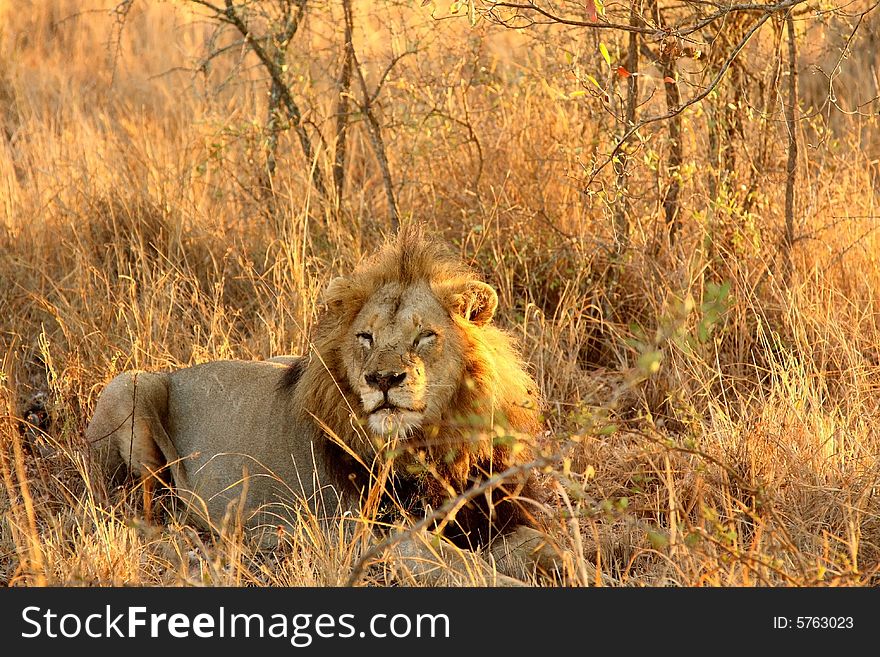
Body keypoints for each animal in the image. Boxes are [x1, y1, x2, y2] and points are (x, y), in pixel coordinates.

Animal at [87, 227, 564, 584]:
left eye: (425, 336)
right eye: (366, 337)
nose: (383, 379)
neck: (438, 441)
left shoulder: (492, 513)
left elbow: (548, 544)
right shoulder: (375, 533)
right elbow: (465, 566)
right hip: (128, 386)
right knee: (144, 514)